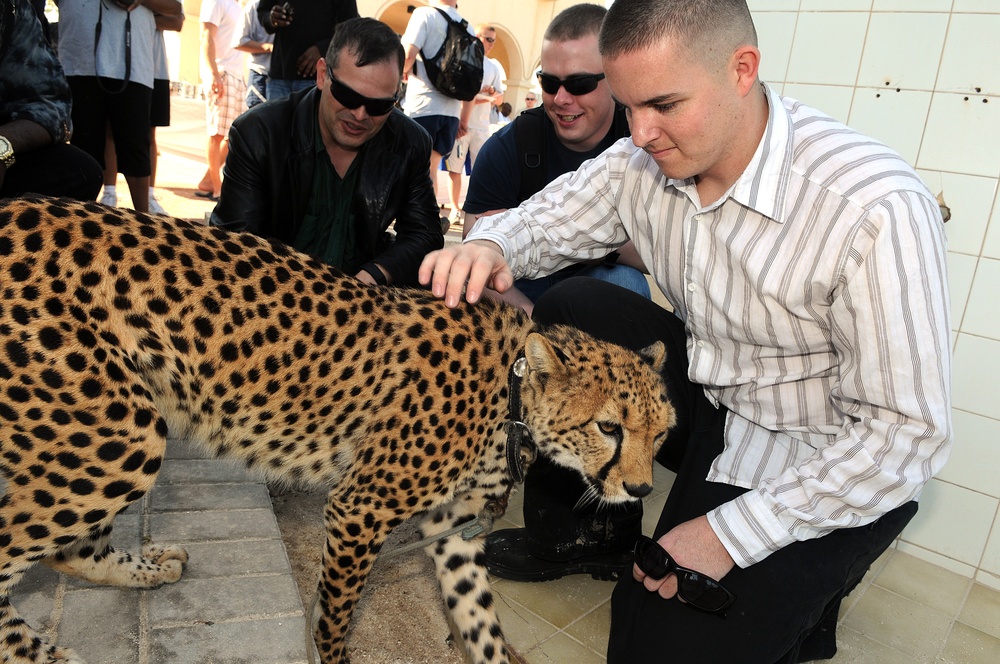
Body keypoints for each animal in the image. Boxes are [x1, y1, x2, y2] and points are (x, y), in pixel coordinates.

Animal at [0, 197, 672, 664]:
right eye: (609, 427)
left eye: (662, 435)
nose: (640, 491)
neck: (511, 395)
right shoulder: (361, 507)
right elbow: (337, 609)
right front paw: (333, 651)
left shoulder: (453, 529)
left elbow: (479, 621)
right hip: (122, 436)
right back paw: (42, 652)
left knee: (66, 548)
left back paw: (148, 568)